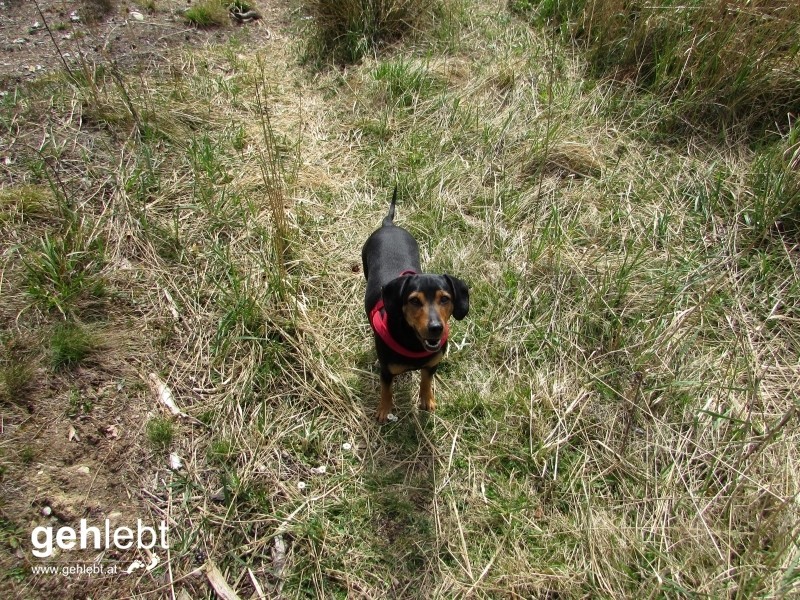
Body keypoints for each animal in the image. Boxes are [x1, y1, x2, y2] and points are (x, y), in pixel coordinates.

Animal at [360, 188, 468, 422]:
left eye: (445, 298)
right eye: (414, 301)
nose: (436, 328)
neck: (414, 343)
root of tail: (388, 225)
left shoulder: (432, 364)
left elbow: (426, 380)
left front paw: (427, 400)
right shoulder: (386, 370)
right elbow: (386, 389)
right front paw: (384, 410)